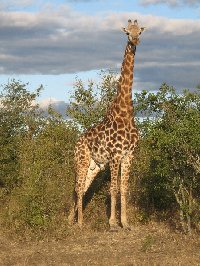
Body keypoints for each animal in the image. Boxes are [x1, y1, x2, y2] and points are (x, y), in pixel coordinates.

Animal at [69, 19, 145, 231]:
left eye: (140, 32)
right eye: (127, 32)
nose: (135, 41)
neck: (125, 112)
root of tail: (77, 142)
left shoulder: (129, 155)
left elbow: (124, 188)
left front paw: (125, 223)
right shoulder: (115, 155)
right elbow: (113, 188)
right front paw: (112, 224)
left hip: (94, 166)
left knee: (81, 188)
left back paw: (70, 220)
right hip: (82, 160)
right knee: (78, 187)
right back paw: (80, 222)